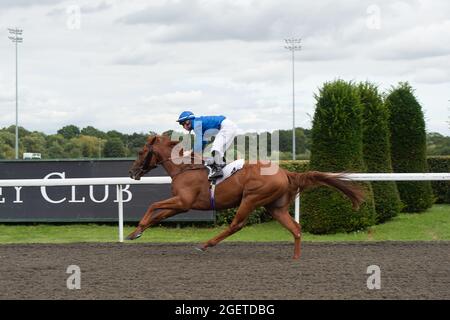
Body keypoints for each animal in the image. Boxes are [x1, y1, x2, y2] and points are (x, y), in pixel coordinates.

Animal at [125, 134, 362, 258]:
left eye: (140, 152)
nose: (131, 172)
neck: (184, 168)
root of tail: (285, 172)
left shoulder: (184, 201)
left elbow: (153, 205)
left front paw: (135, 230)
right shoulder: (181, 205)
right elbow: (158, 214)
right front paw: (136, 232)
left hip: (251, 198)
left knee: (236, 224)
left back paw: (205, 244)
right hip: (275, 207)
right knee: (295, 228)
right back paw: (295, 257)